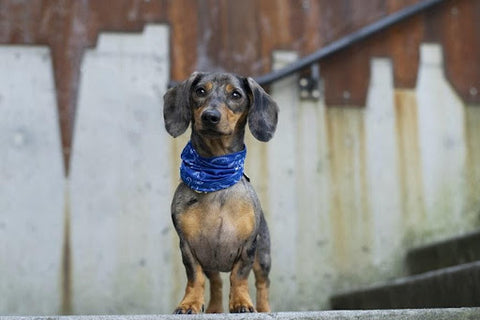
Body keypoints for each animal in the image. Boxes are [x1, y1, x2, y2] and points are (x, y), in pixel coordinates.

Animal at [164, 72, 280, 312]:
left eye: (236, 95)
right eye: (200, 91)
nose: (210, 116)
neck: (215, 174)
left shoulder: (248, 247)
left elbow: (239, 276)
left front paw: (241, 302)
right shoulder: (188, 247)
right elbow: (195, 278)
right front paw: (190, 303)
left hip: (263, 255)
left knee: (263, 283)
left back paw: (264, 309)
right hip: (210, 261)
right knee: (216, 282)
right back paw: (214, 308)